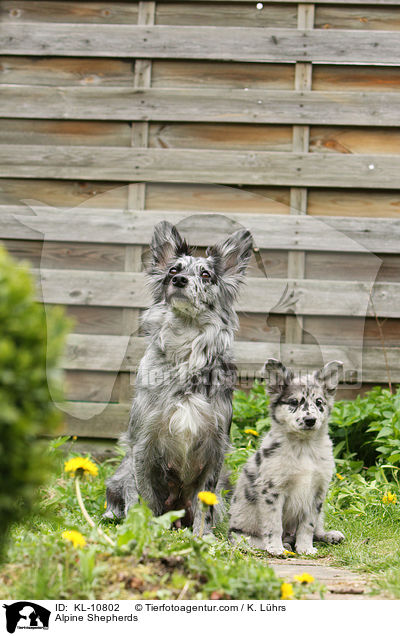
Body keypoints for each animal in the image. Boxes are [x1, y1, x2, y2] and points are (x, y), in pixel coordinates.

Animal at [104, 221, 252, 536]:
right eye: (173, 270)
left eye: (206, 274)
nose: (180, 280)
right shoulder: (143, 443)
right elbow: (145, 495)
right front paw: (145, 530)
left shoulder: (216, 446)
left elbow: (205, 500)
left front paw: (203, 536)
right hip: (121, 472)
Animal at [230, 360, 346, 556]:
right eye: (293, 402)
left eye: (319, 402)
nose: (310, 420)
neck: (304, 447)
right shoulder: (273, 490)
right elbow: (274, 524)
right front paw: (276, 548)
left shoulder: (317, 492)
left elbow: (308, 526)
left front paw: (306, 548)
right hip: (240, 533)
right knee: (250, 540)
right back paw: (282, 545)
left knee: (316, 529)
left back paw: (329, 535)